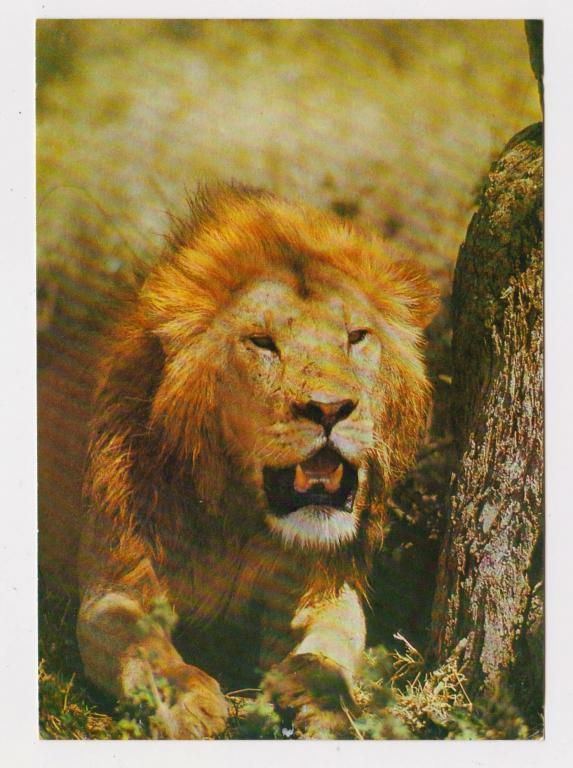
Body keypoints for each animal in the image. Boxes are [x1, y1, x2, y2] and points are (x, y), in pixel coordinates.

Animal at [74, 183, 438, 738]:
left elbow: (338, 633)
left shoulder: (320, 582)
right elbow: (142, 646)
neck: (243, 519)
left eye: (356, 337)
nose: (329, 408)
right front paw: (187, 701)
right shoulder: (115, 582)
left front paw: (318, 693)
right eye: (263, 343)